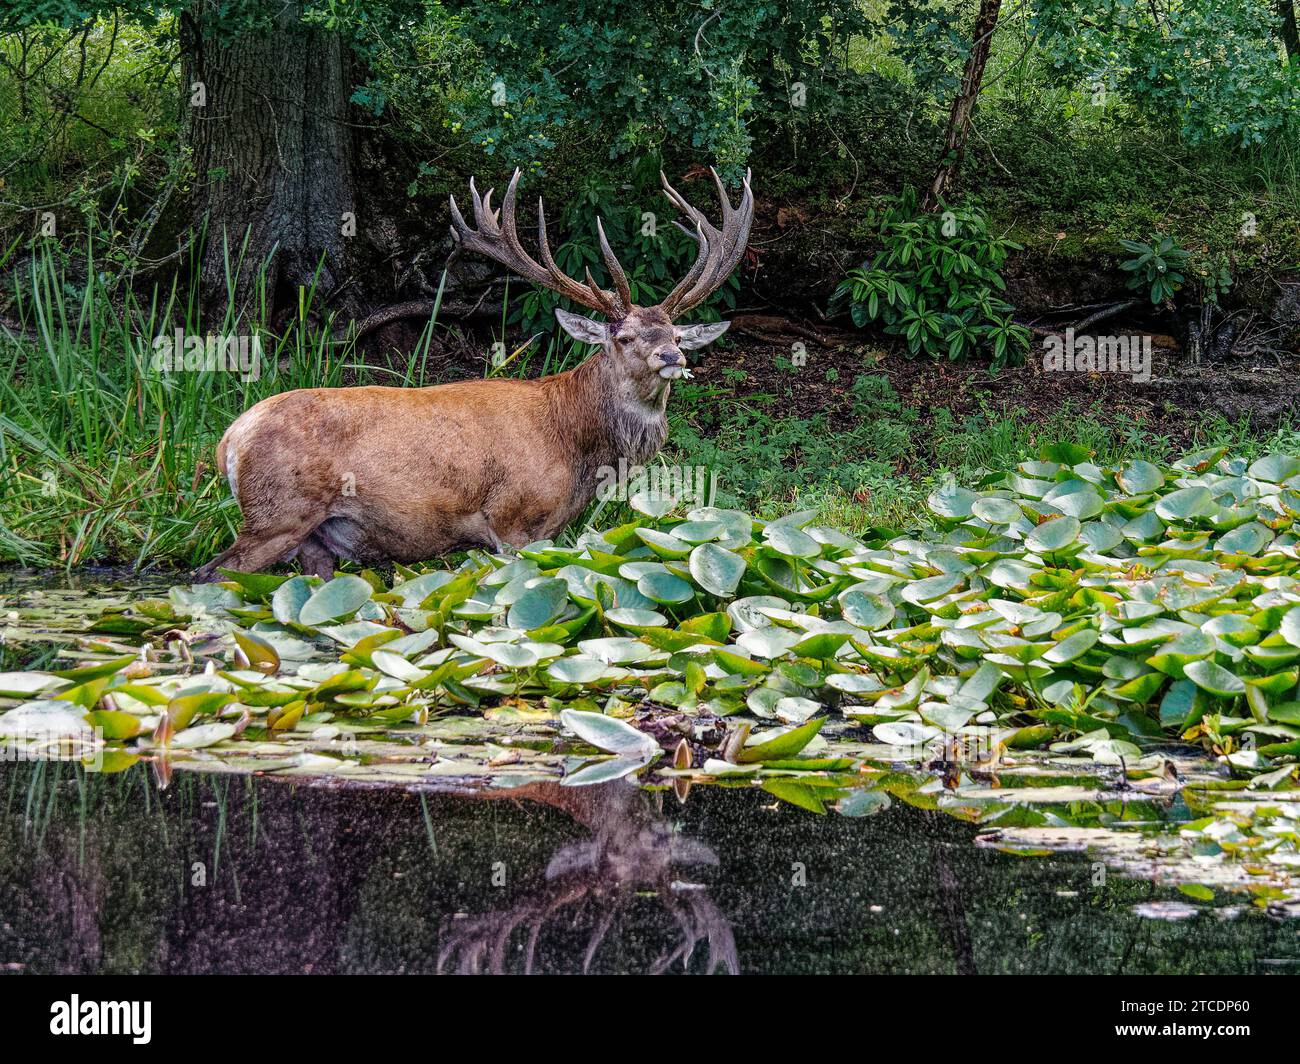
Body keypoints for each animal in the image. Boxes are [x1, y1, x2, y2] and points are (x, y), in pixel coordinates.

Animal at [195, 167, 753, 581]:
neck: (575, 444)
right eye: (625, 337)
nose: (672, 358)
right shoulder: (512, 521)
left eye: (676, 334)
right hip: (277, 513)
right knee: (211, 574)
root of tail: (229, 439)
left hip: (311, 538)